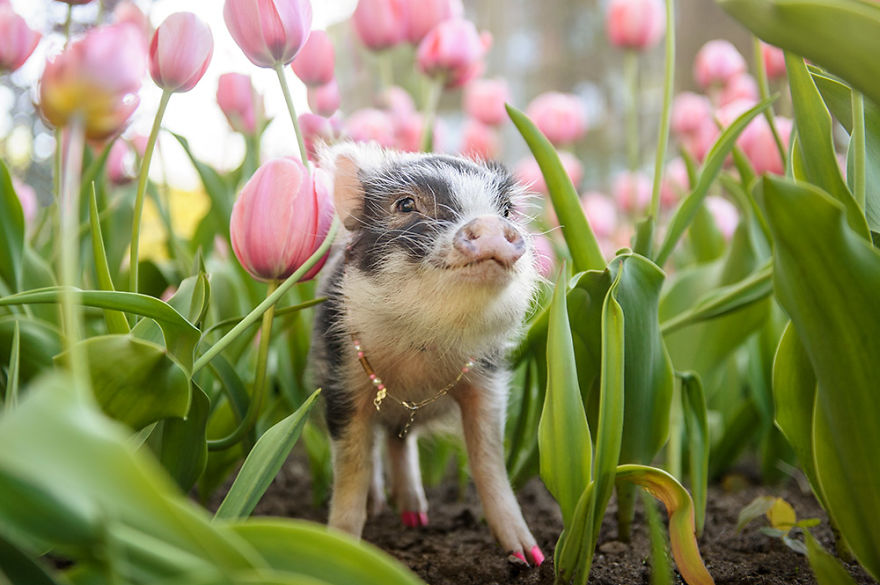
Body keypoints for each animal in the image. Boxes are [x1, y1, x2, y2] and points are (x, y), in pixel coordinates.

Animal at [310, 142, 544, 567]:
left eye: (504, 211)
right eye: (405, 204)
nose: (490, 225)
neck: (420, 347)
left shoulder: (487, 382)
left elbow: (488, 460)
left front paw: (529, 558)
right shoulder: (341, 383)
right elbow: (351, 469)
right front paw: (340, 547)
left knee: (399, 442)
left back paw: (416, 518)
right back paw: (385, 509)